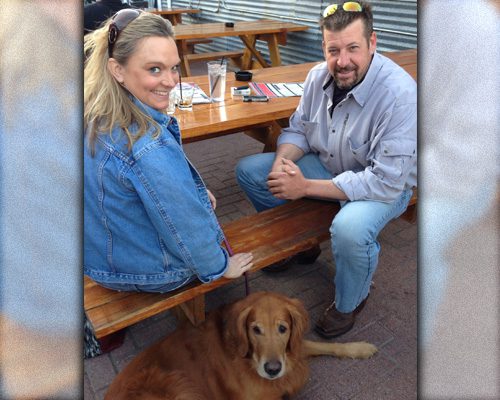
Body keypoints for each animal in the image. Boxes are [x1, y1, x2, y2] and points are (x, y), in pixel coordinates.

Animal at [106, 290, 378, 400]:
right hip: (177, 386)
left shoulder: (291, 351)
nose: (272, 369)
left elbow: (326, 345)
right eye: (255, 329)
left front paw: (360, 348)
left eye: (283, 328)